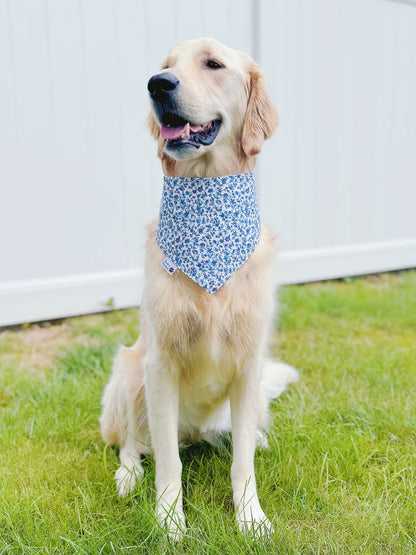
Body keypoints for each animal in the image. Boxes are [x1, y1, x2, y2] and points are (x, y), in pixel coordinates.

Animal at [99, 37, 298, 540]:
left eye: (213, 64)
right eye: (166, 66)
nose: (158, 84)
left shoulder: (249, 363)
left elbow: (242, 463)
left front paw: (250, 518)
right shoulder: (160, 365)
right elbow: (168, 462)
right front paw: (170, 521)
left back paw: (259, 437)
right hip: (129, 373)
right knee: (132, 444)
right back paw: (128, 475)